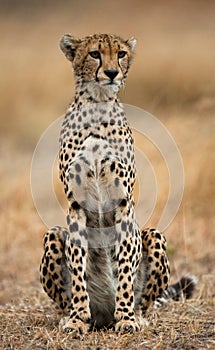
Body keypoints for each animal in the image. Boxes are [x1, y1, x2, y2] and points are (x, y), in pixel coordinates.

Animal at [40, 34, 197, 334]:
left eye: (121, 53)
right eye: (94, 54)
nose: (112, 73)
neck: (98, 105)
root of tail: (104, 313)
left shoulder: (124, 203)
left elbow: (124, 267)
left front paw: (125, 318)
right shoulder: (76, 205)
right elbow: (77, 267)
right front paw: (77, 319)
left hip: (154, 235)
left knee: (145, 300)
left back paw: (135, 315)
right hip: (53, 234)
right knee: (64, 297)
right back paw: (72, 315)